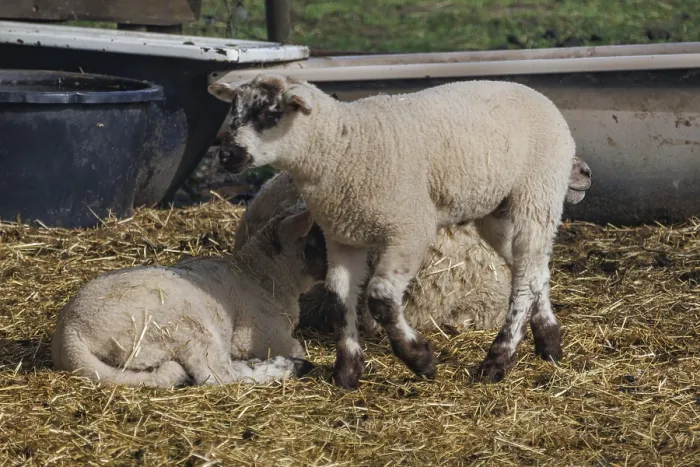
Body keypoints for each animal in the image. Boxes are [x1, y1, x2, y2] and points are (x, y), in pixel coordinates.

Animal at [51, 203, 327, 388]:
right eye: (320, 240)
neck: (261, 275)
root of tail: (69, 334)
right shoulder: (257, 334)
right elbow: (296, 346)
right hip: (183, 327)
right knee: (217, 374)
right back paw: (288, 367)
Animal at [208, 74, 577, 390]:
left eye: (269, 114)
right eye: (233, 109)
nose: (226, 155)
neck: (340, 147)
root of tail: (538, 95)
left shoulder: (409, 229)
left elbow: (380, 298)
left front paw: (420, 360)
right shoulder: (342, 236)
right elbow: (339, 299)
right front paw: (347, 372)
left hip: (537, 192)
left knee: (526, 276)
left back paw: (498, 360)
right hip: (495, 211)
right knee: (531, 269)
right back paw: (549, 342)